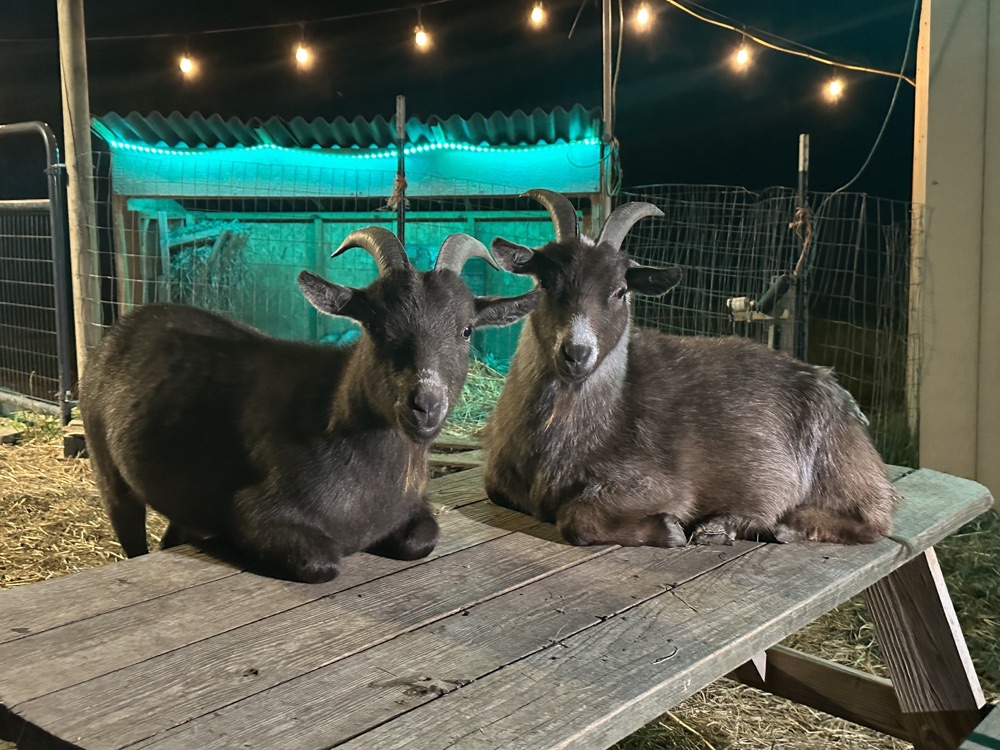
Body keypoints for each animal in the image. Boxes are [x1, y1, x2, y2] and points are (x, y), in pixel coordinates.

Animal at [80, 228, 539, 582]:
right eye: (374, 325)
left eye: (466, 330)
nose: (425, 404)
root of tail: (125, 324)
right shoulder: (253, 514)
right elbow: (323, 563)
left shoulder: (412, 507)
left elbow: (421, 541)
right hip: (107, 466)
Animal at [480, 189, 898, 548]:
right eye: (545, 282)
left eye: (620, 291)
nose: (577, 352)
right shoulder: (498, 481)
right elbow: (495, 491)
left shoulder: (656, 482)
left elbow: (576, 517)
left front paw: (669, 529)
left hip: (841, 466)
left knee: (874, 518)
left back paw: (766, 525)